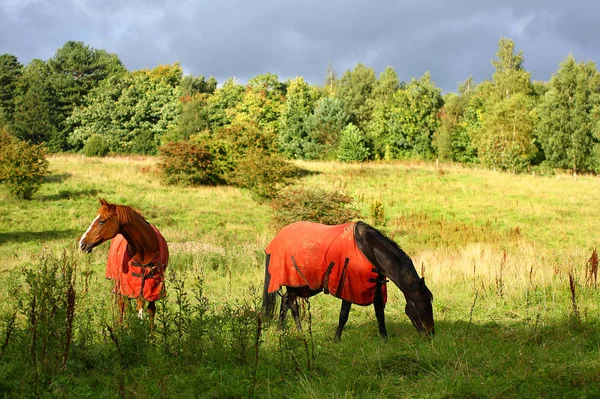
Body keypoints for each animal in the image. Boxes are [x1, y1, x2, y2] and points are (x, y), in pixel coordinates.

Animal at [78, 198, 169, 328]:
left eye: (101, 221)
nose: (81, 244)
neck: (145, 253)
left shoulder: (153, 291)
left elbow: (151, 311)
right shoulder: (127, 287)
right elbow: (127, 309)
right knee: (122, 305)